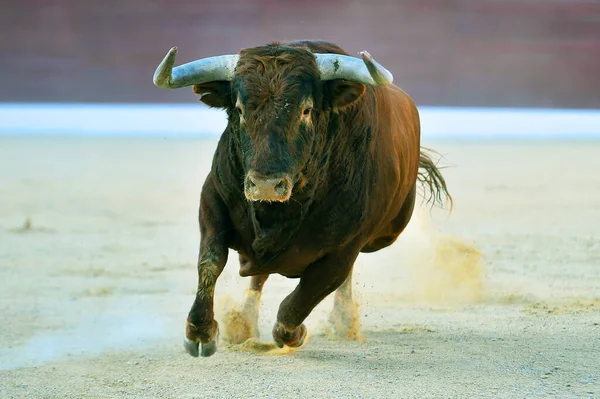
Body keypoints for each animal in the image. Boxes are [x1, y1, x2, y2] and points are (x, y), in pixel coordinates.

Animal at [152, 40, 452, 358]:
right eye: (240, 109)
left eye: (306, 110)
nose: (266, 186)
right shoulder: (212, 199)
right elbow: (210, 260)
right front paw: (200, 332)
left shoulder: (344, 249)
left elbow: (303, 297)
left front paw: (293, 334)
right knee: (257, 276)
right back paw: (246, 321)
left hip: (384, 235)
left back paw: (342, 322)